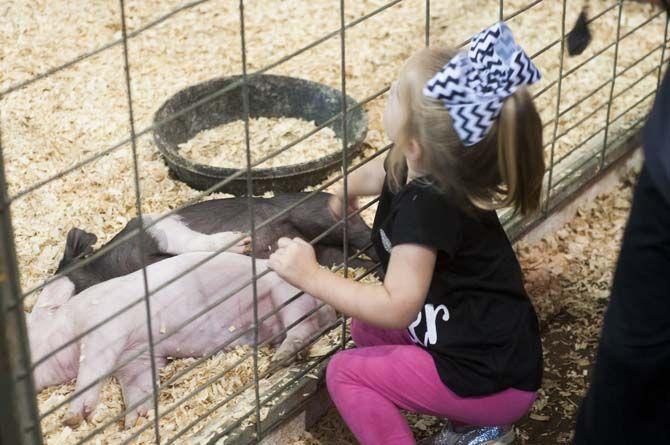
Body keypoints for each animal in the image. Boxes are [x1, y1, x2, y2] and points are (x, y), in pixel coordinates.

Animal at [26, 250, 336, 426]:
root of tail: (330, 310)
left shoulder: (105, 327)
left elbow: (91, 367)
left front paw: (72, 418)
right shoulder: (137, 355)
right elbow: (138, 384)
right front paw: (134, 421)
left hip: (287, 294)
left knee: (302, 328)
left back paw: (279, 360)